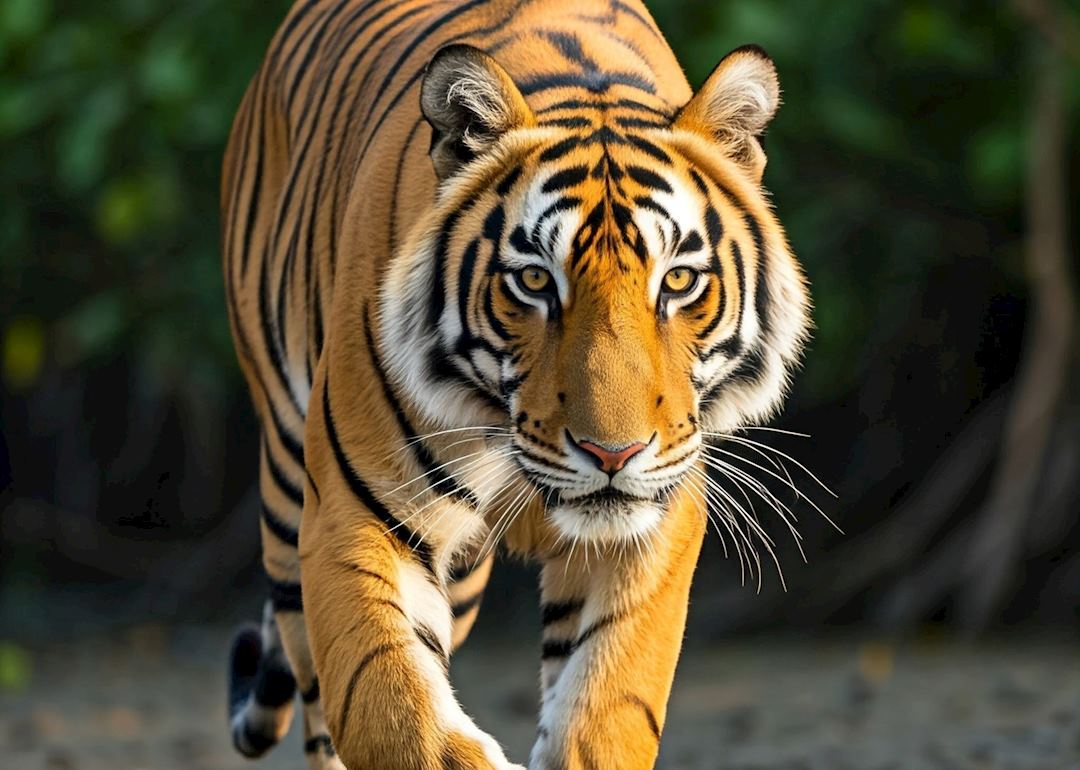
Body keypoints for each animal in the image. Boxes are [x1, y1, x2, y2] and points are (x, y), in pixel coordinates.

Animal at [220, 0, 810, 768]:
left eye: (678, 280)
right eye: (534, 280)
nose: (613, 455)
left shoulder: (650, 529)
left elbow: (604, 714)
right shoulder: (352, 517)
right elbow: (391, 711)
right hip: (290, 491)